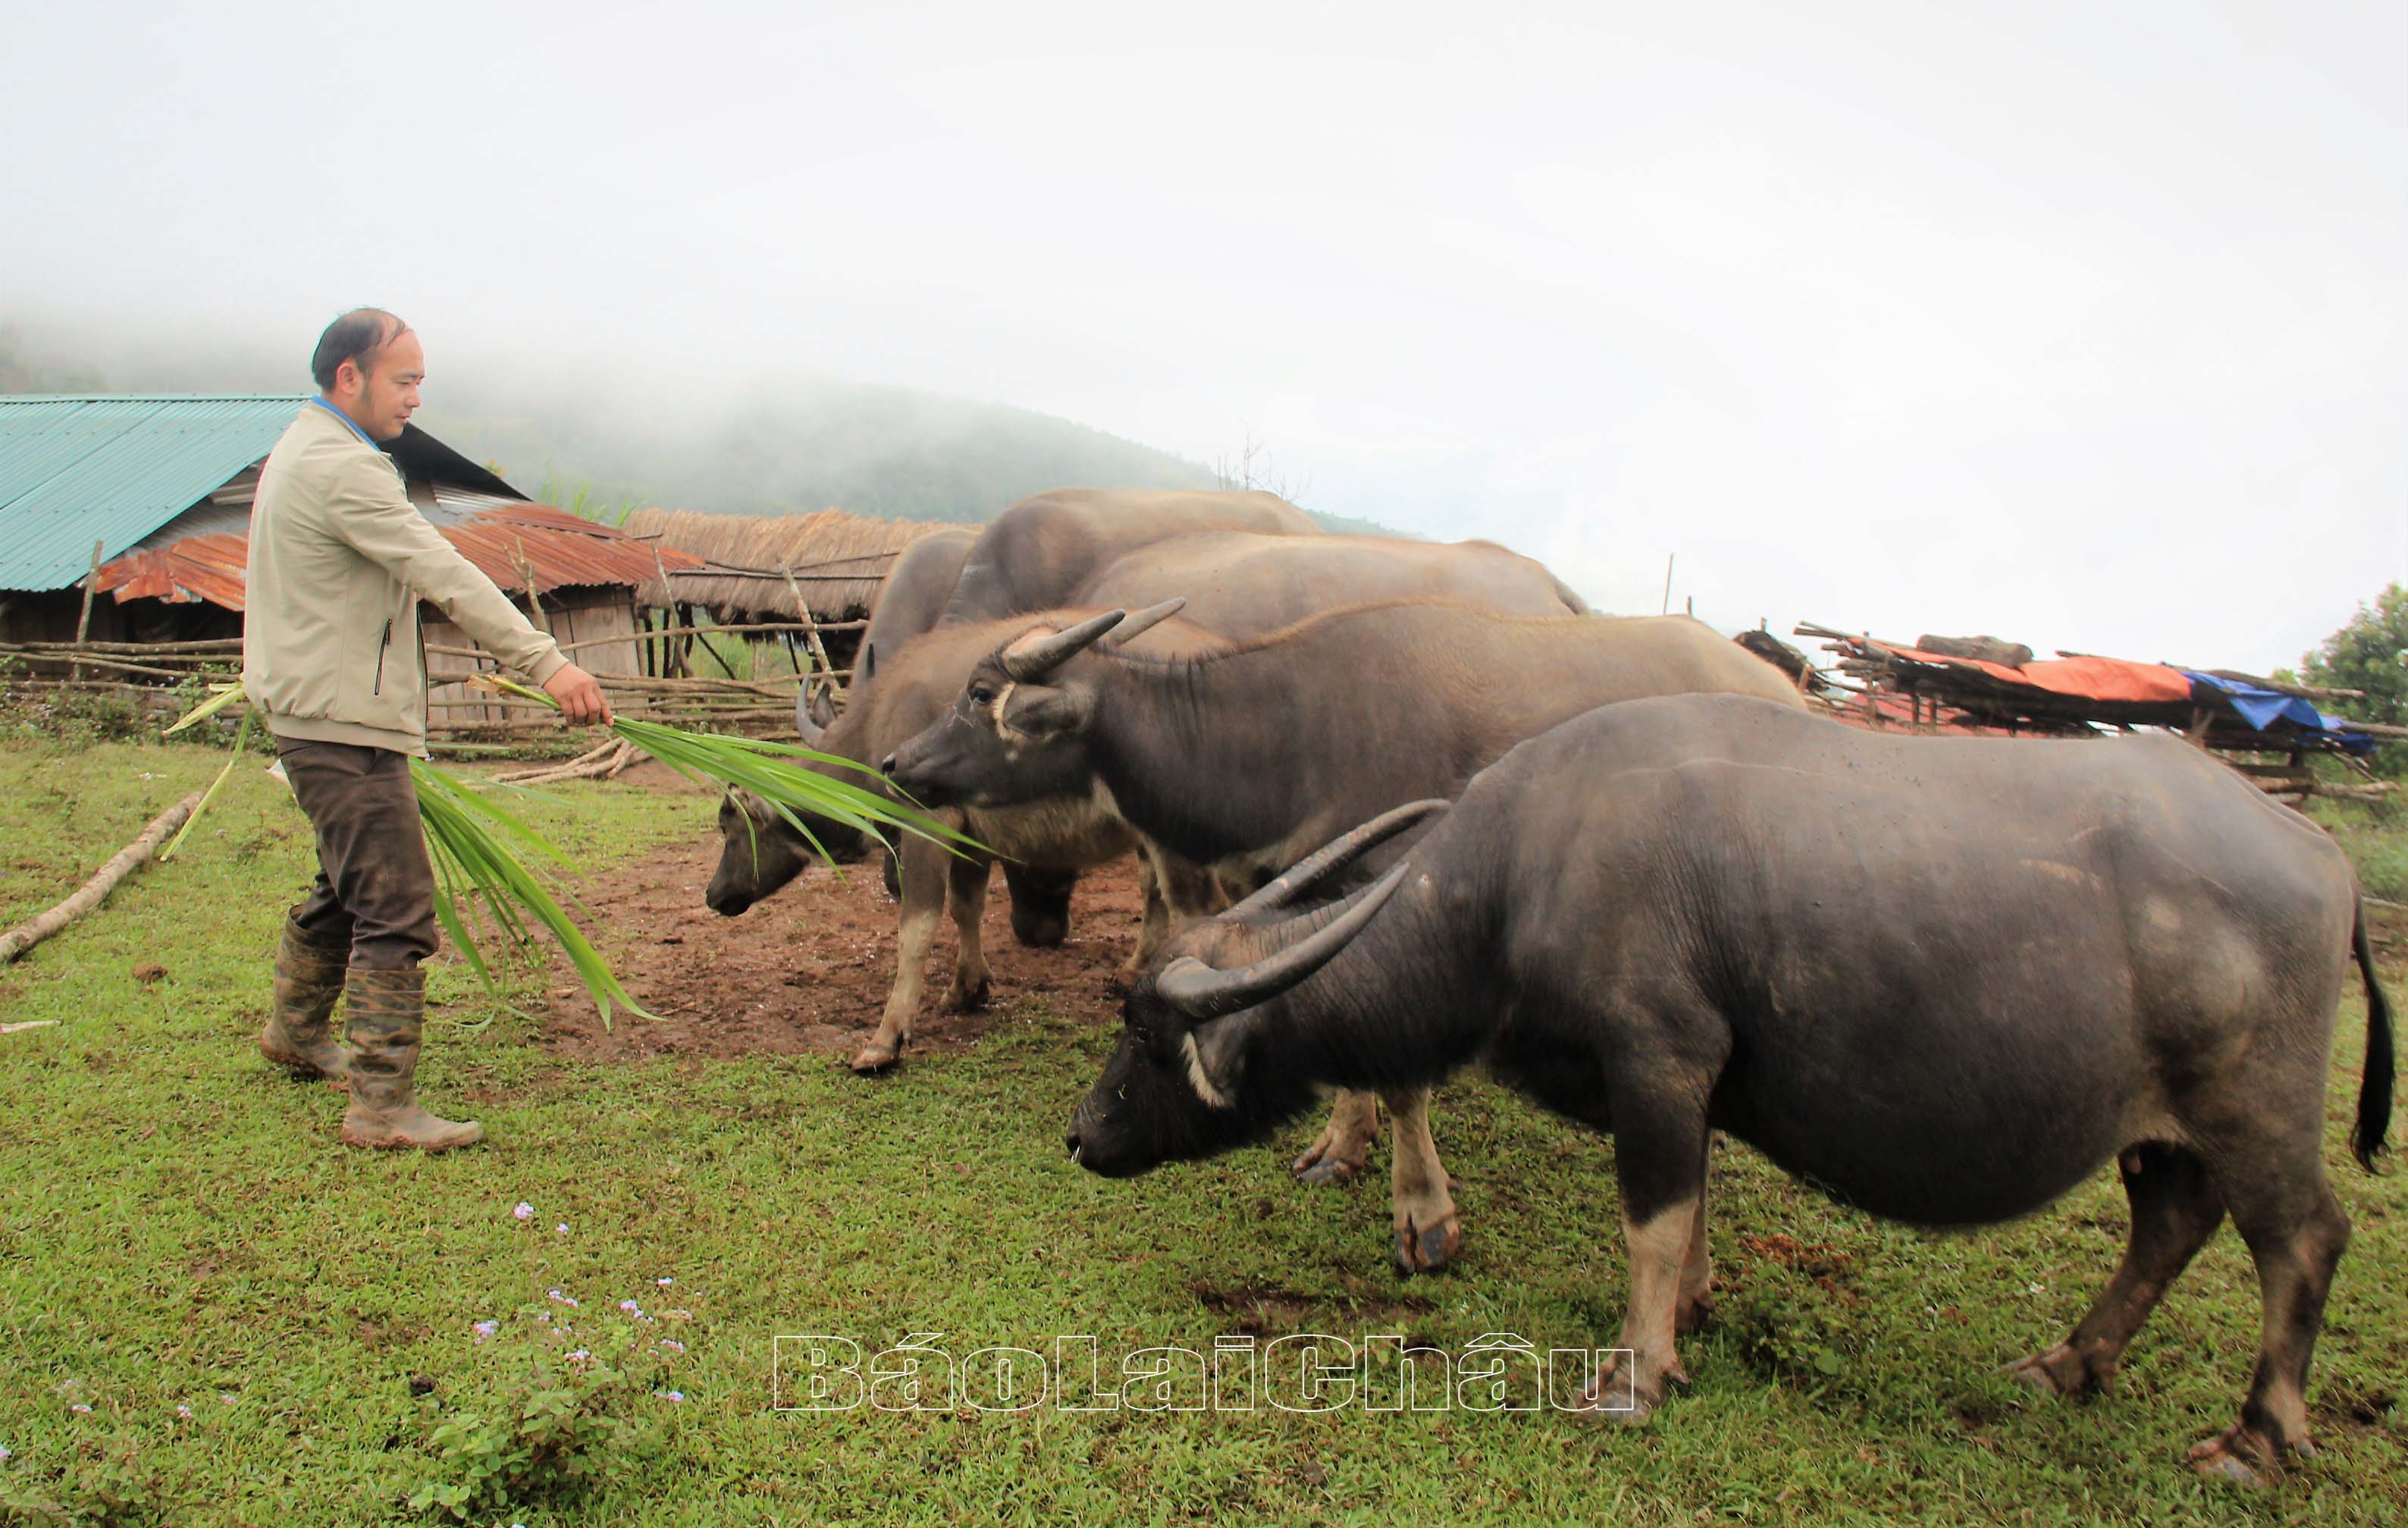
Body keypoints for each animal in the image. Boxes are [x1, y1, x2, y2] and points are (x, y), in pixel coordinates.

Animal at [886, 600, 1811, 1263]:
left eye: (978, 695)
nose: (896, 762)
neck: (1285, 734)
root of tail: (1784, 691)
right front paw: (1338, 1144)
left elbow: (1402, 1081)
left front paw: (1424, 1217)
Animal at [1069, 694, 2388, 1484]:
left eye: (1142, 1031)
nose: (1083, 1134)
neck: (1523, 873)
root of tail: (2316, 850)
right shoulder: (1694, 1085)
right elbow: (1692, 1209)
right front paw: (1695, 1311)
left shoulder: (1657, 1058)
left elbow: (1651, 1218)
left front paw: (1633, 1372)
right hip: (2166, 1127)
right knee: (2171, 1218)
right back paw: (2067, 1364)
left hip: (2257, 1113)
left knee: (2303, 1238)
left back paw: (2257, 1437)